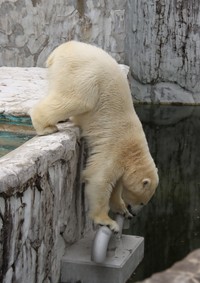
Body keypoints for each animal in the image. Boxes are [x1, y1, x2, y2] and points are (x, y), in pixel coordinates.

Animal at [30, 42, 159, 233]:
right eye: (142, 202)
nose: (134, 213)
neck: (134, 151)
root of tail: (62, 48)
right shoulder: (116, 148)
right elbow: (99, 179)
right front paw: (108, 221)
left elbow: (116, 184)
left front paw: (121, 209)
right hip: (85, 77)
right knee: (78, 100)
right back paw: (46, 127)